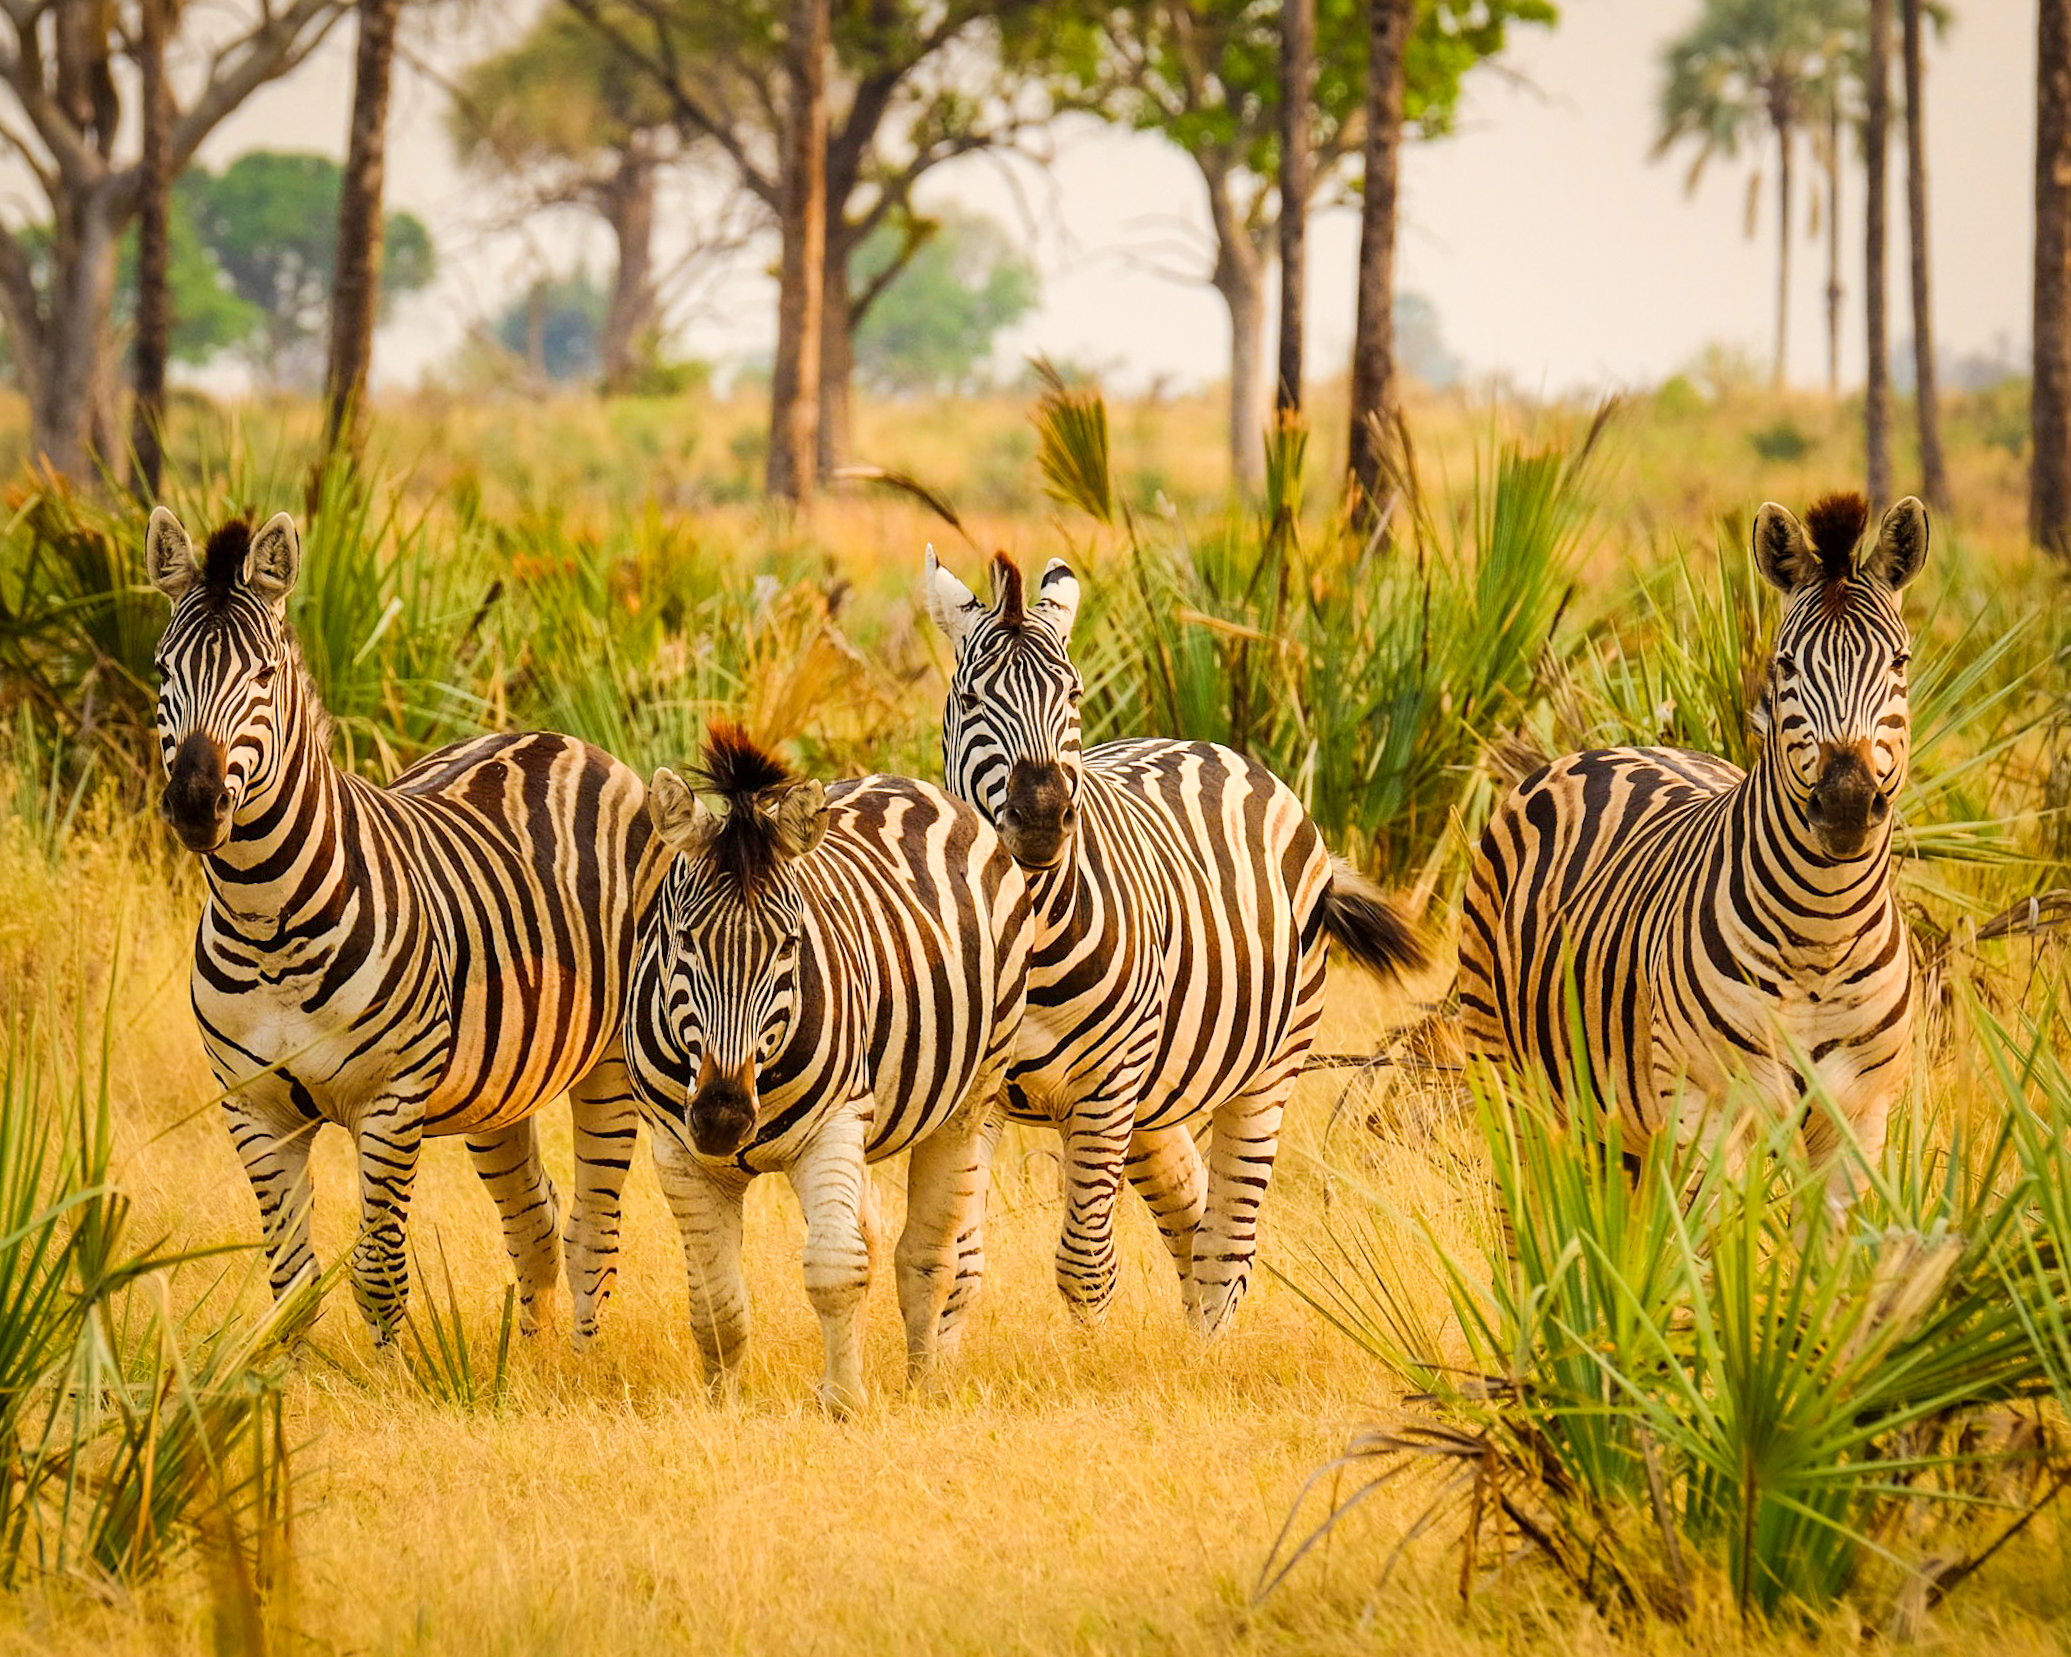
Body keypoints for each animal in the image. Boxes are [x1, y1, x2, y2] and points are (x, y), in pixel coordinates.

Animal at [147, 507, 662, 1345]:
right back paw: (534, 1360)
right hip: (499, 1085)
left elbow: (378, 1273)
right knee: (536, 1219)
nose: (194, 802)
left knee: (594, 1234)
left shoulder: (391, 1100)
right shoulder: (252, 1108)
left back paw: (585, 1362)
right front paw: (284, 1381)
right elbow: (291, 1284)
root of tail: (557, 737)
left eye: (264, 676)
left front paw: (390, 1372)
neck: (265, 920)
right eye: (163, 672)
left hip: (613, 1061)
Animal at [625, 724, 1030, 1414]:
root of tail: (905, 781)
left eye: (789, 943)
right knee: (871, 1233)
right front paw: (722, 1407)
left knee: (925, 1255)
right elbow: (715, 1303)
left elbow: (838, 1270)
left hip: (971, 1096)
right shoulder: (675, 1150)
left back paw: (923, 1384)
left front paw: (842, 1404)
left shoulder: (835, 1123)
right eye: (683, 941)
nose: (722, 1118)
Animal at [921, 550, 1429, 1337]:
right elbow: (956, 1264)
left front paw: (1088, 1363)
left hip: (1262, 1067)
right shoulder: (977, 1093)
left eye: (1072, 693)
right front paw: (934, 1363)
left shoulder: (1105, 1087)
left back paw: (1209, 1350)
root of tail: (1202, 743)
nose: (1040, 816)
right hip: (1151, 1094)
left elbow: (1085, 1267)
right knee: (1191, 1218)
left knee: (1227, 1246)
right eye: (972, 698)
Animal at [1458, 491, 1927, 1209]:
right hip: (1506, 1076)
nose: (1847, 801)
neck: (1821, 935)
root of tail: (1609, 746)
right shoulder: (1706, 1110)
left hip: (1623, 1127)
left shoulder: (1860, 1120)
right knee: (1525, 1200)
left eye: (1898, 662)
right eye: (1784, 665)